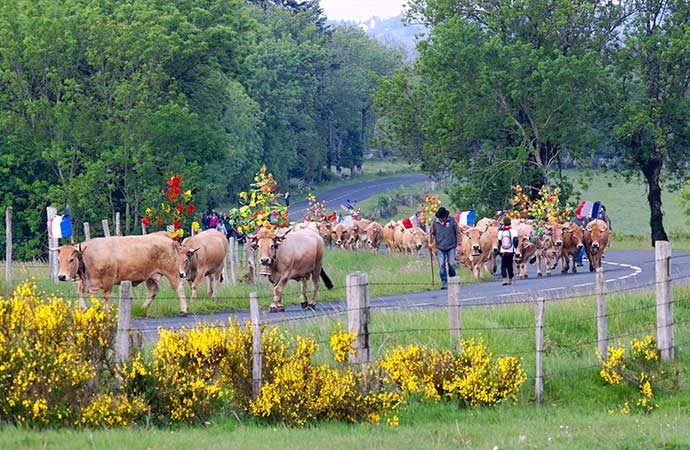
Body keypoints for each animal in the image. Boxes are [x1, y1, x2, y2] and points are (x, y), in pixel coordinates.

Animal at [54, 232, 188, 314]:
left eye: (71, 259)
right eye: (59, 260)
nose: (61, 276)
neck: (89, 256)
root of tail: (163, 236)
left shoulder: (108, 280)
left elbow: (106, 297)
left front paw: (107, 312)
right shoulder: (86, 282)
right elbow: (78, 293)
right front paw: (84, 308)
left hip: (172, 272)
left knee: (179, 288)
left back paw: (184, 309)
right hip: (150, 276)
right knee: (153, 291)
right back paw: (143, 308)